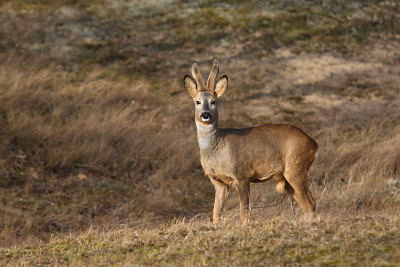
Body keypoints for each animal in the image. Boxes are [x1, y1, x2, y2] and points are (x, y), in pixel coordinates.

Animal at [184, 60, 318, 224]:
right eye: (197, 101)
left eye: (213, 101)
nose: (205, 114)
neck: (218, 148)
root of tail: (313, 143)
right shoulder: (218, 182)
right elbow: (216, 214)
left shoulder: (241, 176)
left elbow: (244, 212)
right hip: (288, 177)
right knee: (308, 204)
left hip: (296, 167)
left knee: (309, 204)